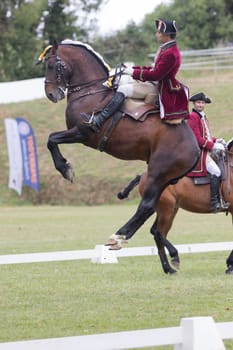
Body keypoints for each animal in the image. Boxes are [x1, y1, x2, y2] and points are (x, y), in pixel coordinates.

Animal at [37, 40, 199, 274]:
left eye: (51, 65)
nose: (51, 94)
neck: (90, 91)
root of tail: (196, 147)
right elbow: (52, 140)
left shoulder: (82, 132)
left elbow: (51, 139)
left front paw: (65, 168)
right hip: (163, 179)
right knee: (151, 212)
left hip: (157, 174)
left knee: (146, 207)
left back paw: (118, 237)